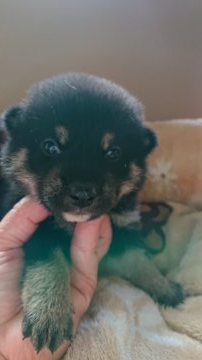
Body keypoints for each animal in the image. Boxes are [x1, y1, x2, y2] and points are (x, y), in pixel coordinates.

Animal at [0, 73, 184, 352]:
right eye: (50, 147)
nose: (82, 194)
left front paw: (163, 287)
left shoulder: (121, 230)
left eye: (113, 152)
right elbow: (49, 266)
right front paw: (49, 315)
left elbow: (140, 261)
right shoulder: (39, 230)